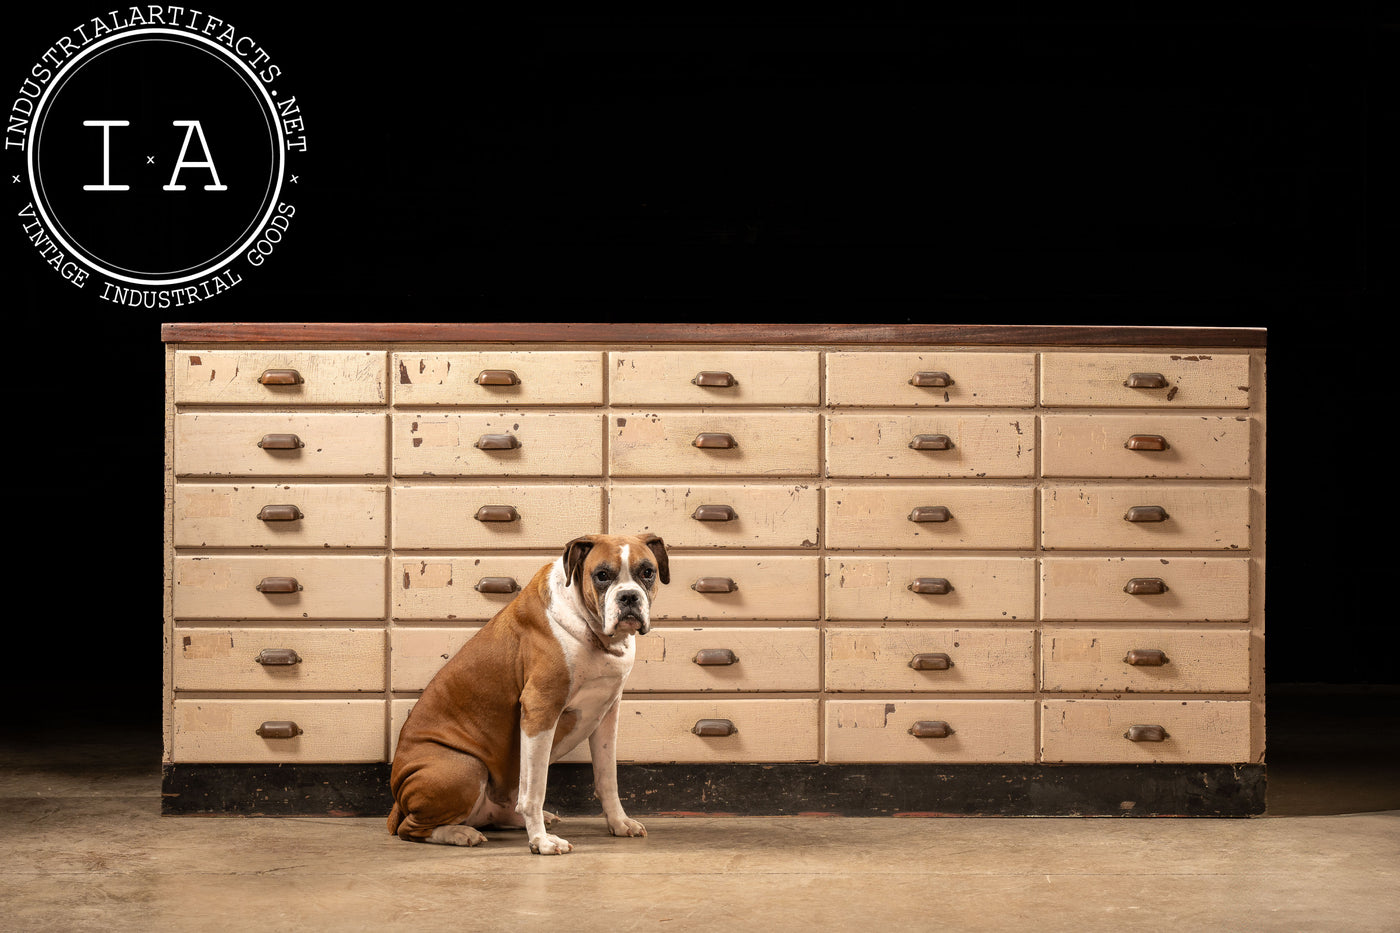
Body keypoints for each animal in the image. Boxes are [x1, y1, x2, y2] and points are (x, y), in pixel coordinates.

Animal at [383, 529, 666, 851]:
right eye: (602, 575)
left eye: (647, 572)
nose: (629, 595)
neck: (592, 629)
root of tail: (397, 798)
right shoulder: (540, 710)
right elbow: (534, 790)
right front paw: (541, 842)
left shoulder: (606, 714)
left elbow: (607, 778)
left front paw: (619, 823)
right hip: (464, 766)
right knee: (411, 828)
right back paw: (460, 833)